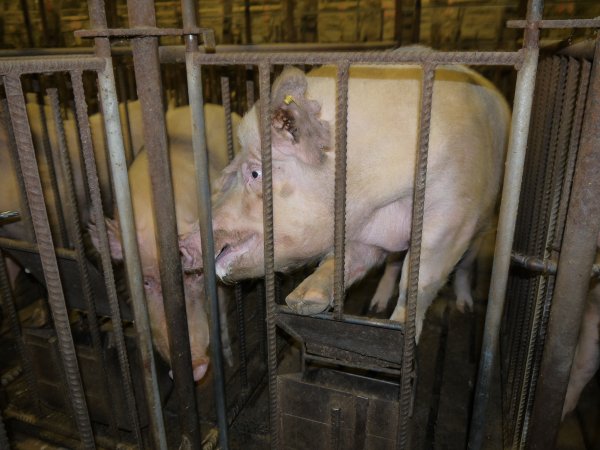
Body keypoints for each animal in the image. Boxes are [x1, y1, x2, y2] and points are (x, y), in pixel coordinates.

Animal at [196, 64, 510, 342]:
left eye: (255, 173)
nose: (189, 241)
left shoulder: (453, 214)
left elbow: (419, 277)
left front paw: (400, 329)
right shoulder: (365, 229)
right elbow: (346, 260)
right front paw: (302, 300)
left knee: (465, 263)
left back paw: (464, 306)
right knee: (392, 263)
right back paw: (375, 305)